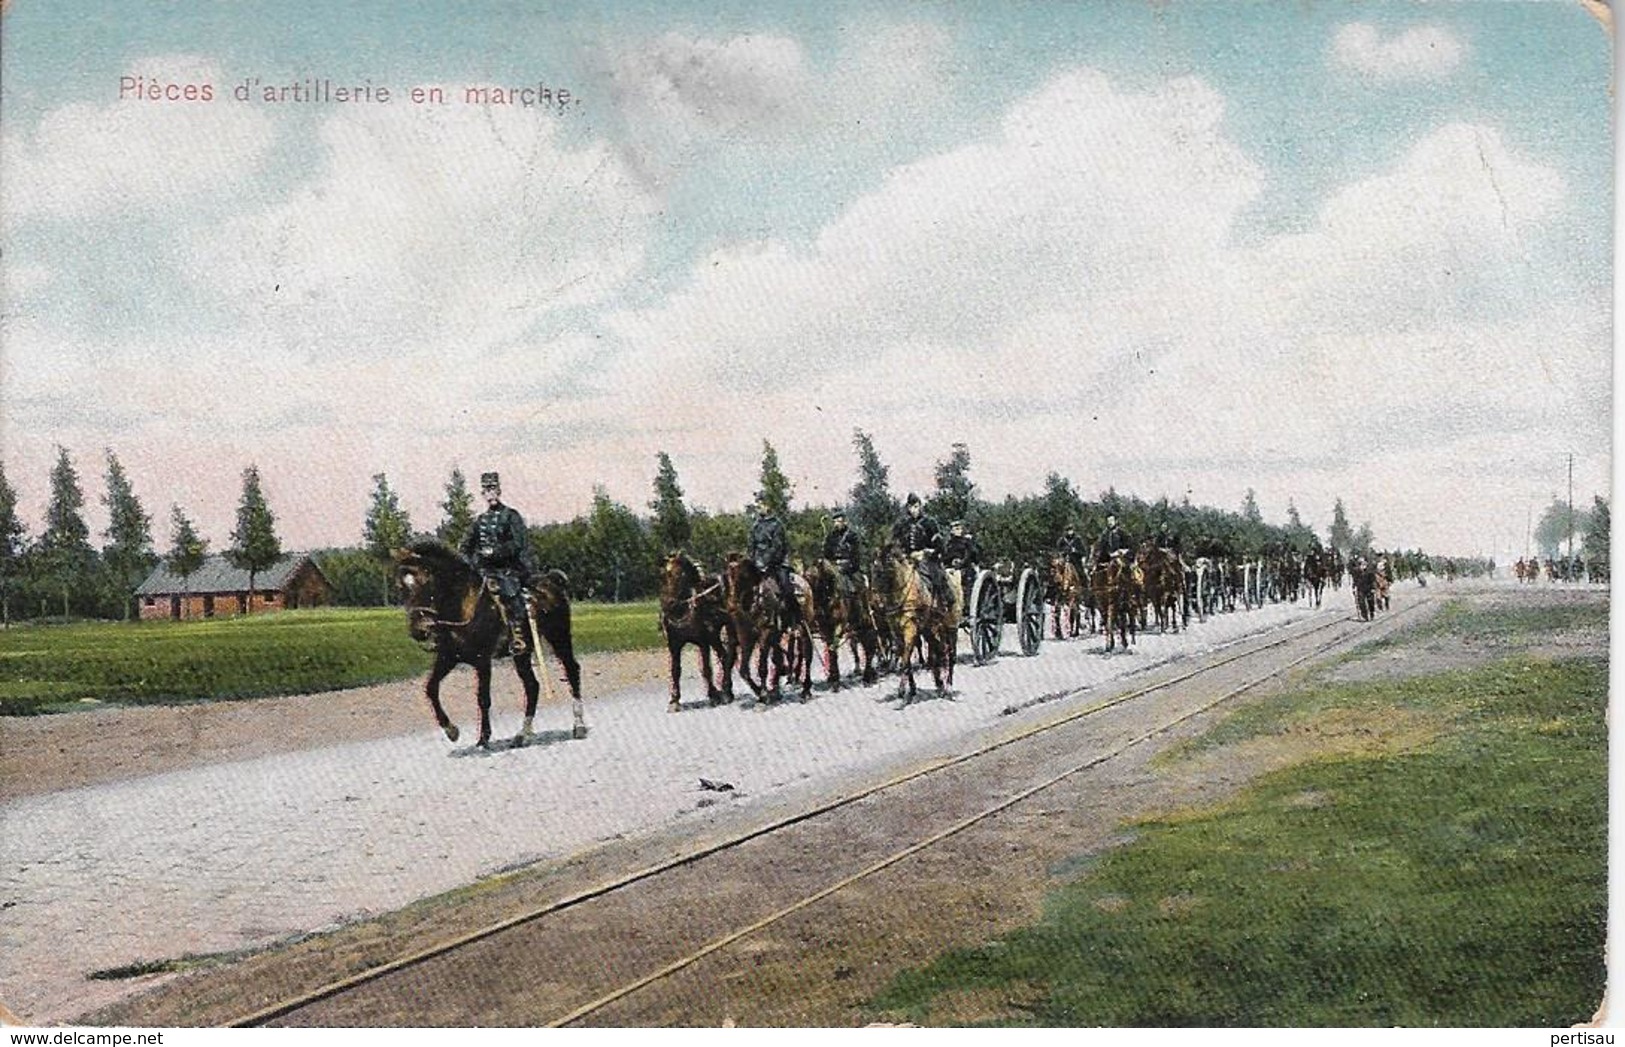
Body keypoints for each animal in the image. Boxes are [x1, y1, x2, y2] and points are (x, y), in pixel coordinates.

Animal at [393, 539, 585, 751]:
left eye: (428, 583)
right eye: (401, 587)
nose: (419, 630)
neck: (464, 606)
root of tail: (553, 579)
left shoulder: (482, 661)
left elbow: (483, 699)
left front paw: (483, 738)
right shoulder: (448, 657)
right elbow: (431, 688)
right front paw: (451, 730)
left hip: (559, 637)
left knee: (571, 670)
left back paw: (578, 726)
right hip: (522, 653)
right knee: (532, 686)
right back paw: (522, 735)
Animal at [659, 549, 737, 712]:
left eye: (682, 575)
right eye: (664, 575)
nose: (670, 604)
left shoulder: (703, 641)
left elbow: (706, 669)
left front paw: (713, 695)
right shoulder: (674, 644)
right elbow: (675, 670)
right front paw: (674, 700)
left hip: (727, 629)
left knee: (728, 656)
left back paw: (726, 692)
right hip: (715, 635)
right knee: (723, 655)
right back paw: (726, 690)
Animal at [799, 559, 877, 692]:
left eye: (813, 579)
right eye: (805, 578)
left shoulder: (837, 626)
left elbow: (832, 649)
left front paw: (835, 680)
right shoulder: (824, 629)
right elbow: (821, 653)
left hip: (863, 623)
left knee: (869, 645)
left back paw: (868, 676)